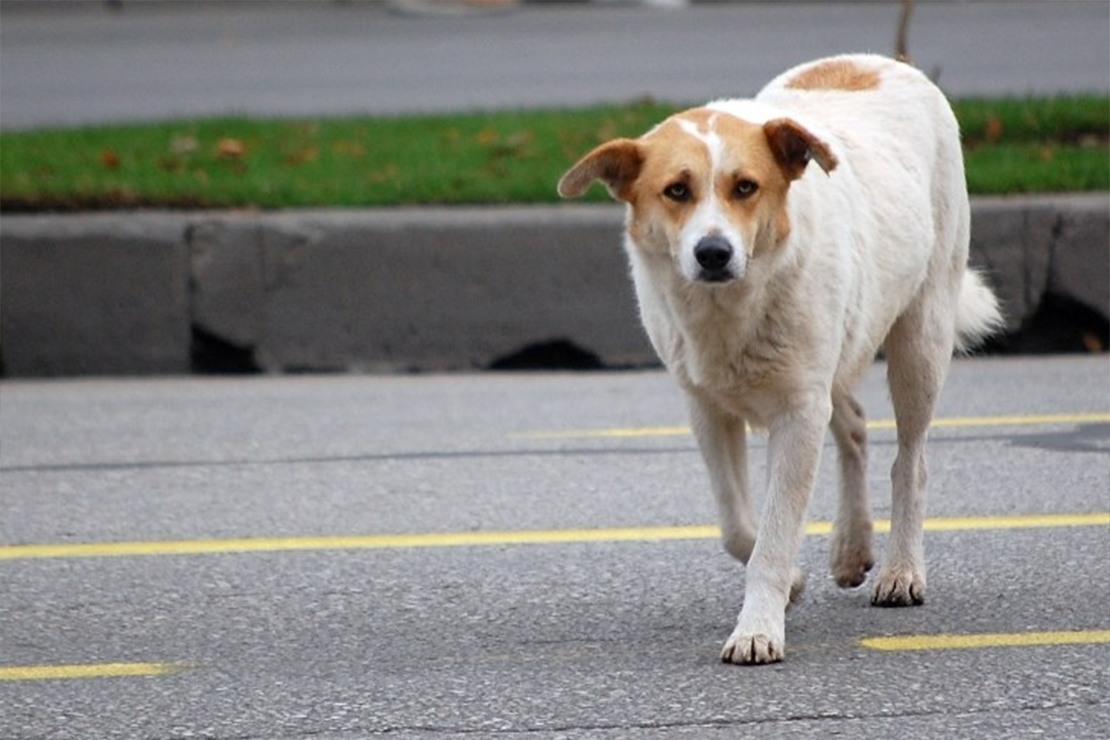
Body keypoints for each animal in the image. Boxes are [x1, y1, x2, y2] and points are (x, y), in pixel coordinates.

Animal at [559, 53, 1003, 665]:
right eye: (677, 190)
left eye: (746, 187)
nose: (714, 253)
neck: (730, 310)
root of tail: (880, 60)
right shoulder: (708, 410)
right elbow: (739, 527)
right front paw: (791, 582)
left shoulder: (797, 413)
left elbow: (772, 534)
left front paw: (758, 629)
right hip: (837, 352)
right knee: (854, 427)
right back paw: (851, 547)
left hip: (921, 338)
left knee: (910, 461)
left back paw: (901, 571)